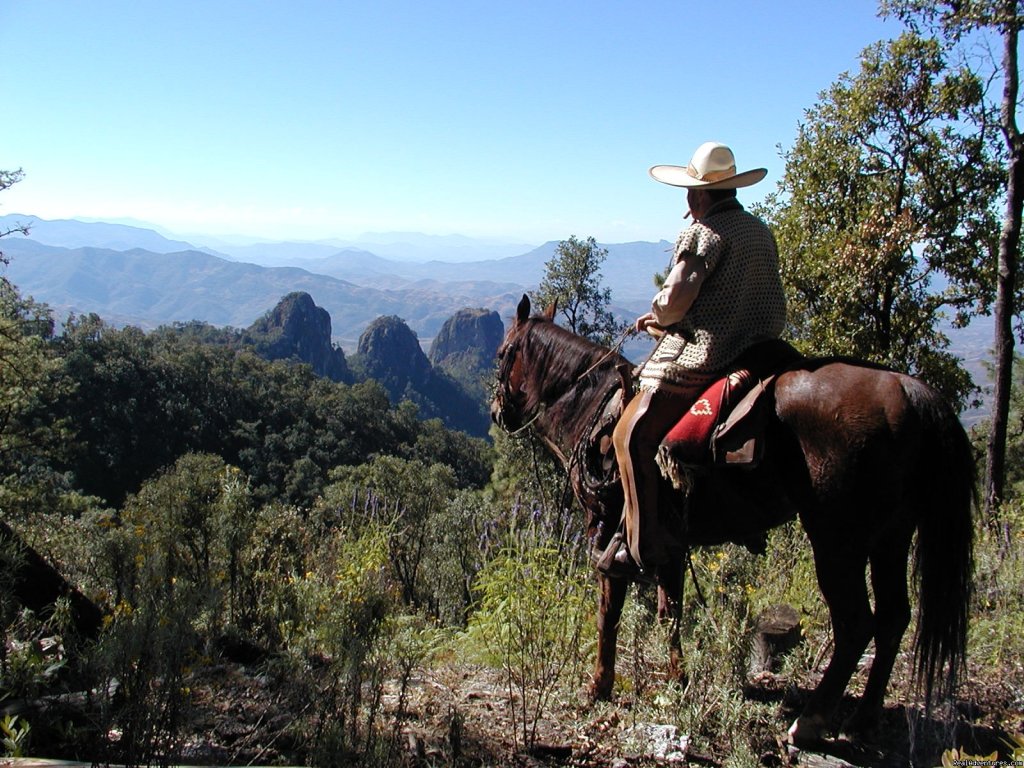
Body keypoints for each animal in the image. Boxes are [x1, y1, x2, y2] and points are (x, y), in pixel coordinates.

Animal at [495, 296, 974, 749]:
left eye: (503, 353)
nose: (499, 413)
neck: (592, 408)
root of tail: (909, 390)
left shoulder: (609, 530)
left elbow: (608, 615)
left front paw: (599, 686)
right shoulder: (669, 543)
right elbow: (671, 613)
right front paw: (678, 681)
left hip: (838, 541)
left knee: (856, 624)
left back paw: (811, 721)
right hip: (891, 536)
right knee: (895, 617)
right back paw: (863, 719)